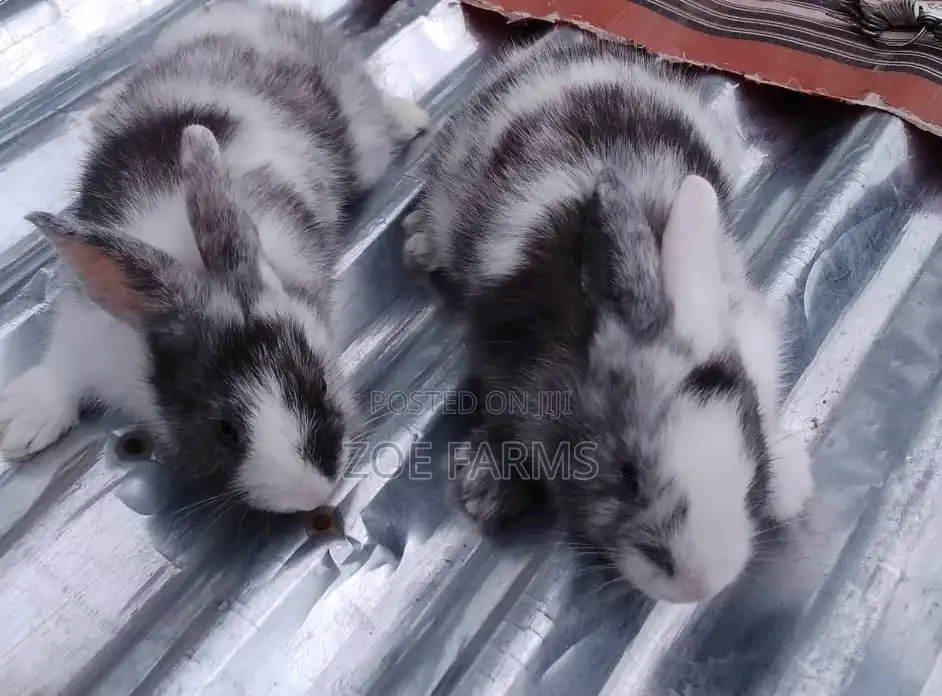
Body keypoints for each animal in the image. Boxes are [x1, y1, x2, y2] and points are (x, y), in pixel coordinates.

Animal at [0, 1, 428, 513]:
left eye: (323, 384)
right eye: (226, 428)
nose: (312, 493)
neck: (198, 269)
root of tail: (260, 16)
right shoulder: (85, 326)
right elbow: (61, 366)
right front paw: (19, 423)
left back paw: (411, 116)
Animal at [402, 29, 813, 604]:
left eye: (751, 457)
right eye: (627, 476)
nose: (699, 585)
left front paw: (789, 481)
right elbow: (504, 419)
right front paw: (487, 487)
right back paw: (418, 242)